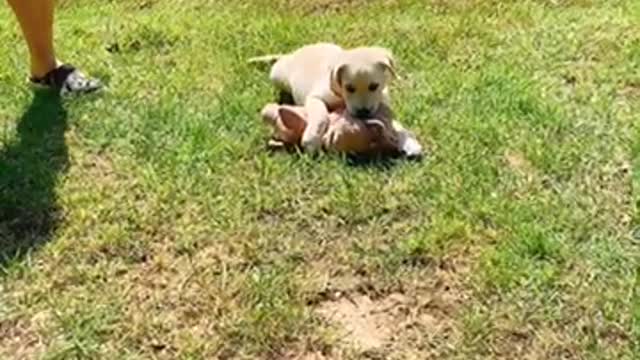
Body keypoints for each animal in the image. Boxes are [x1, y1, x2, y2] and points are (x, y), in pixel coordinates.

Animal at [251, 41, 424, 156]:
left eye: (374, 86)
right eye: (349, 88)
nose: (363, 113)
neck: (341, 97)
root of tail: (293, 54)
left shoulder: (381, 106)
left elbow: (395, 125)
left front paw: (409, 141)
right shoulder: (315, 98)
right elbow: (321, 116)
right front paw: (311, 139)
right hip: (277, 76)